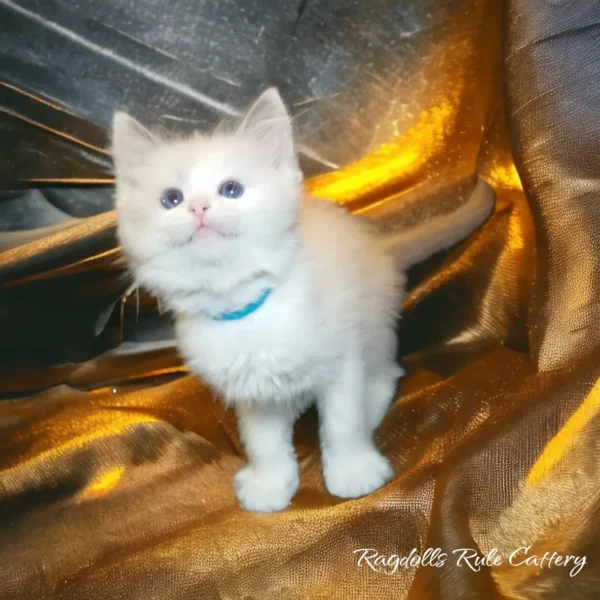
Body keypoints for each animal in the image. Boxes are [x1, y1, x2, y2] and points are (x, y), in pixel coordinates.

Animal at [110, 88, 494, 510]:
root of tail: (380, 246)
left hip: (373, 321)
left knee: (384, 373)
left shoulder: (341, 359)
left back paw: (370, 409)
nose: (198, 208)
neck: (247, 310)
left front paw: (353, 470)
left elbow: (342, 422)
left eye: (231, 189)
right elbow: (263, 441)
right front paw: (270, 484)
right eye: (171, 199)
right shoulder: (251, 389)